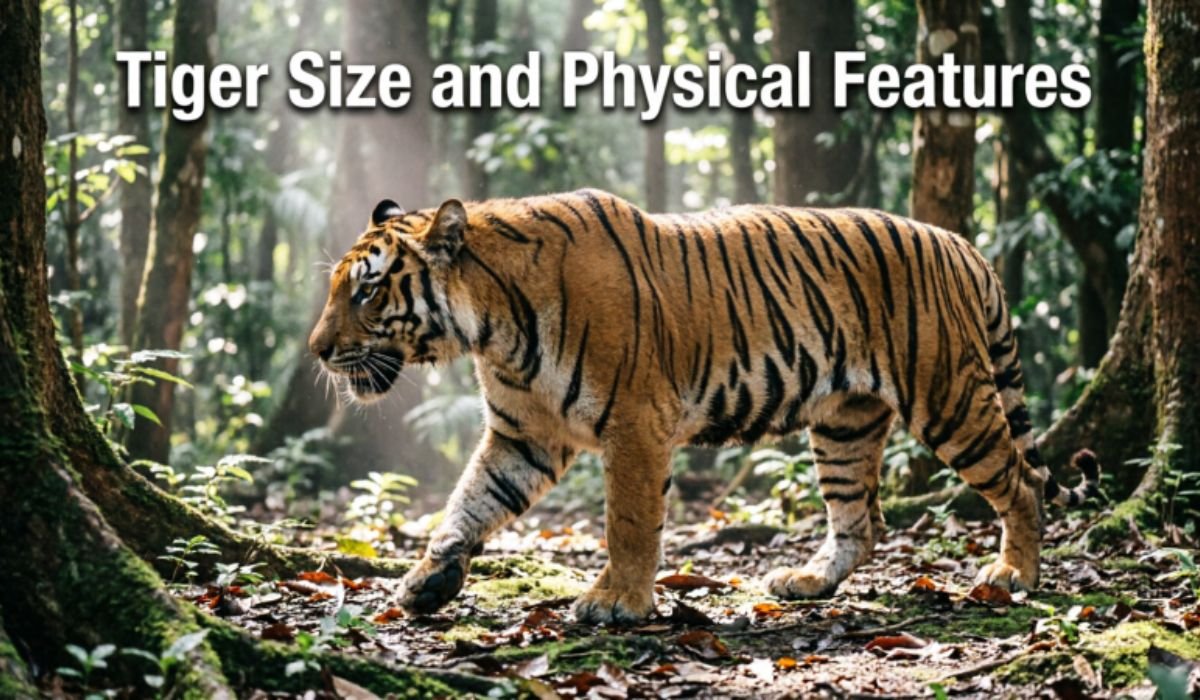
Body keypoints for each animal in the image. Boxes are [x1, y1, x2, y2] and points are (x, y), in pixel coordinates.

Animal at [308, 189, 1100, 624]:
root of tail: (966, 246)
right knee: (863, 520)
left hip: (949, 397)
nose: (316, 350)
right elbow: (467, 503)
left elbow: (629, 524)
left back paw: (1013, 576)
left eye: (368, 291)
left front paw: (615, 602)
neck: (489, 327)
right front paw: (426, 583)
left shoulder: (635, 422)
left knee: (1022, 483)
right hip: (844, 422)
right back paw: (808, 582)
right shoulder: (521, 434)